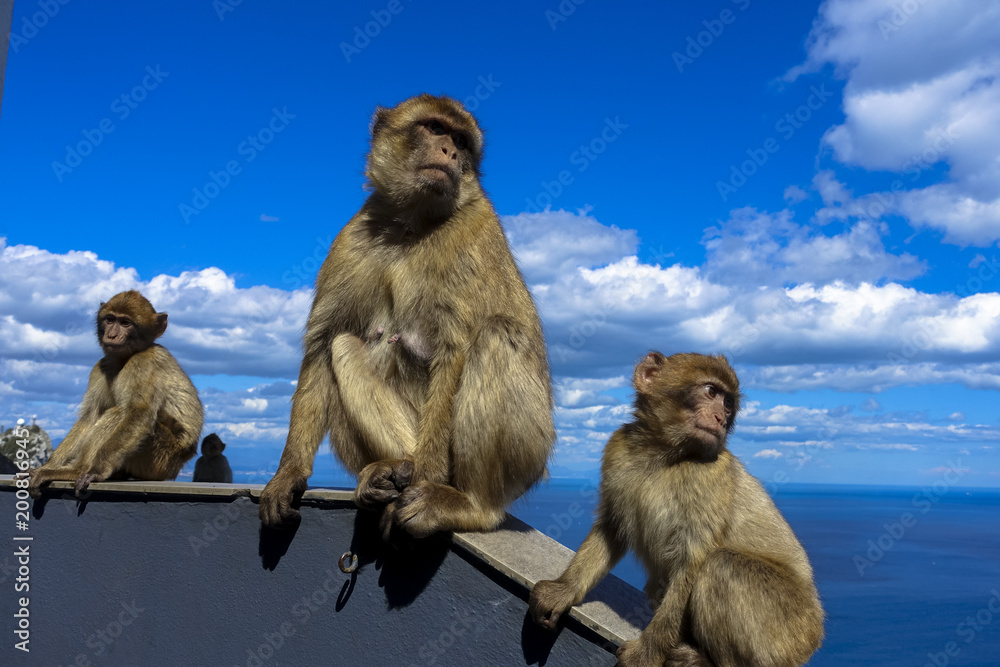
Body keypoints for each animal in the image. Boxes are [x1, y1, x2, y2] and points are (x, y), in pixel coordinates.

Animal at [25, 291, 203, 498]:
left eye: (125, 323)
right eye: (110, 319)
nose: (112, 334)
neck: (125, 358)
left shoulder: (144, 363)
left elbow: (138, 413)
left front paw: (96, 470)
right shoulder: (101, 366)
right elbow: (90, 417)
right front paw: (48, 465)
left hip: (160, 458)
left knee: (119, 412)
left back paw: (78, 470)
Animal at [259, 94, 556, 540]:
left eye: (461, 141)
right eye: (435, 129)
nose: (450, 152)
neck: (412, 223)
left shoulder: (473, 230)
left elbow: (454, 351)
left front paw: (426, 481)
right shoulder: (353, 238)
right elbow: (323, 342)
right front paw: (289, 472)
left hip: (533, 452)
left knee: (496, 333)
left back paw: (467, 502)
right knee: (343, 345)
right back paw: (390, 469)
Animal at [529, 352, 823, 667]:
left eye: (728, 404)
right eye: (711, 392)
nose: (721, 418)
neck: (664, 455)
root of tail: (813, 637)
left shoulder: (708, 478)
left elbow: (691, 563)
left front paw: (647, 652)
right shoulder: (617, 450)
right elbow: (612, 529)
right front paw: (564, 590)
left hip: (787, 630)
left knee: (723, 565)